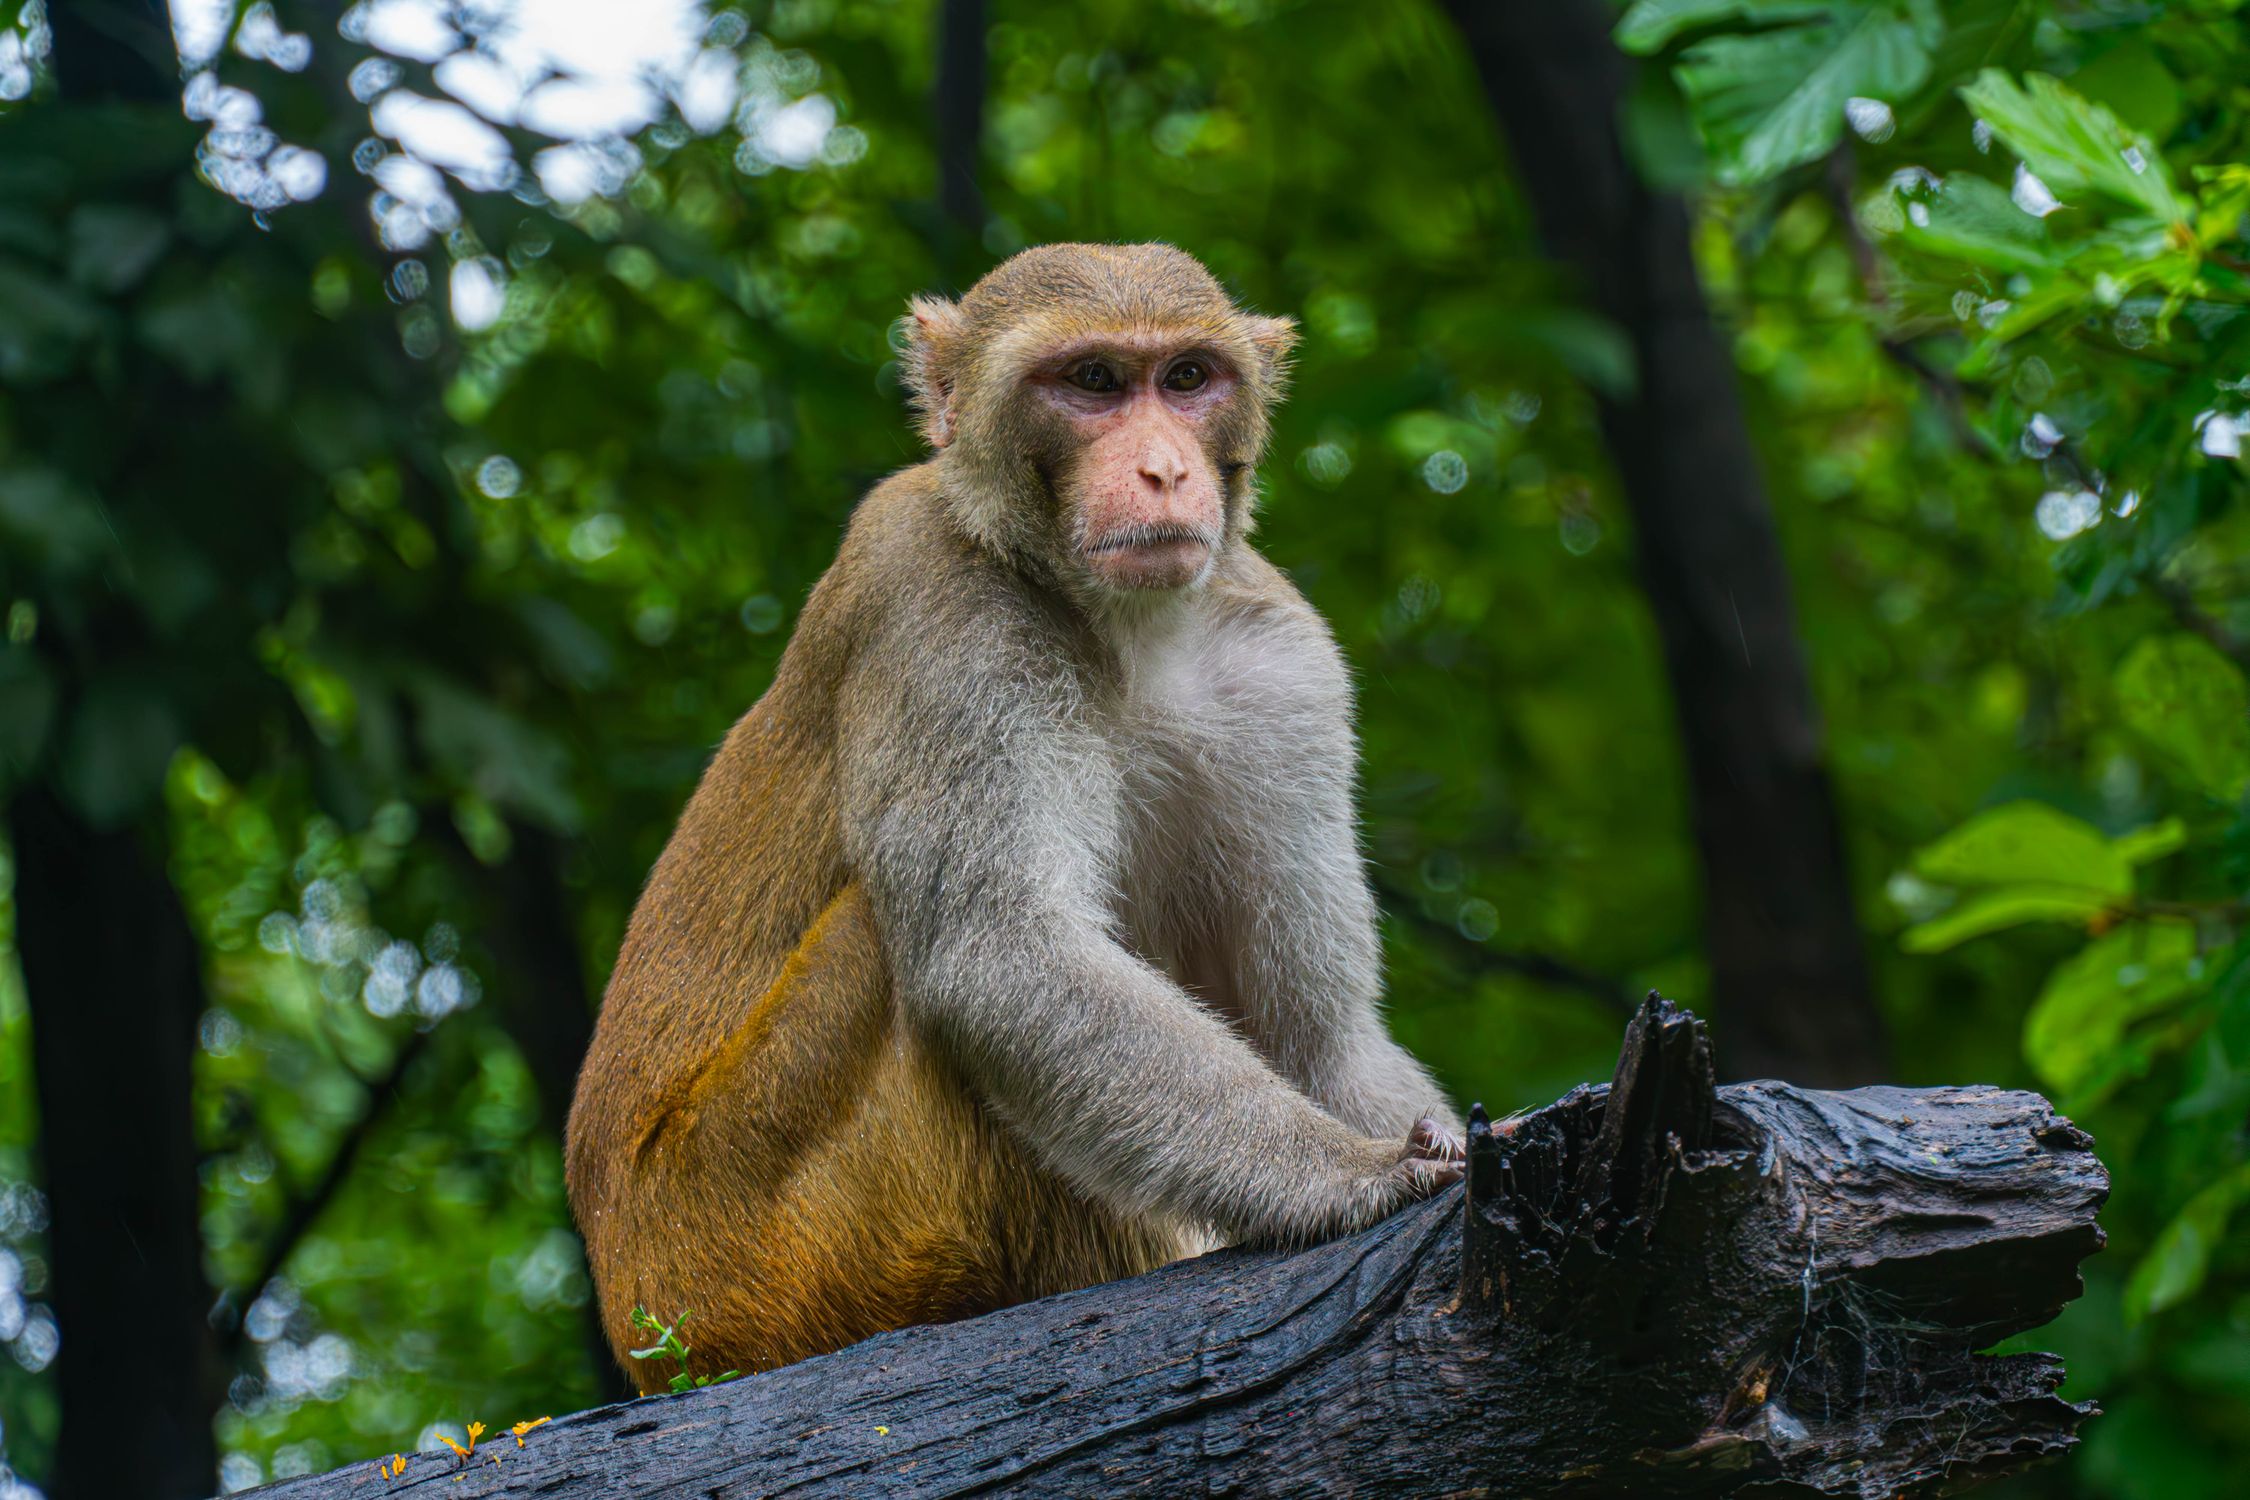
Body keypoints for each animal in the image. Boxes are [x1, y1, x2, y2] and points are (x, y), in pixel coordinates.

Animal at [565, 242, 1463, 1390]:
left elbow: (1320, 1037)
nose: (1164, 469)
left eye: (1186, 379)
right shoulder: (931, 594)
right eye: (1092, 383)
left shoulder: (1283, 660)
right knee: (894, 944)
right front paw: (1347, 1176)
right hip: (753, 1261)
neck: (1120, 626)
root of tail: (634, 1314)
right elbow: (1003, 958)